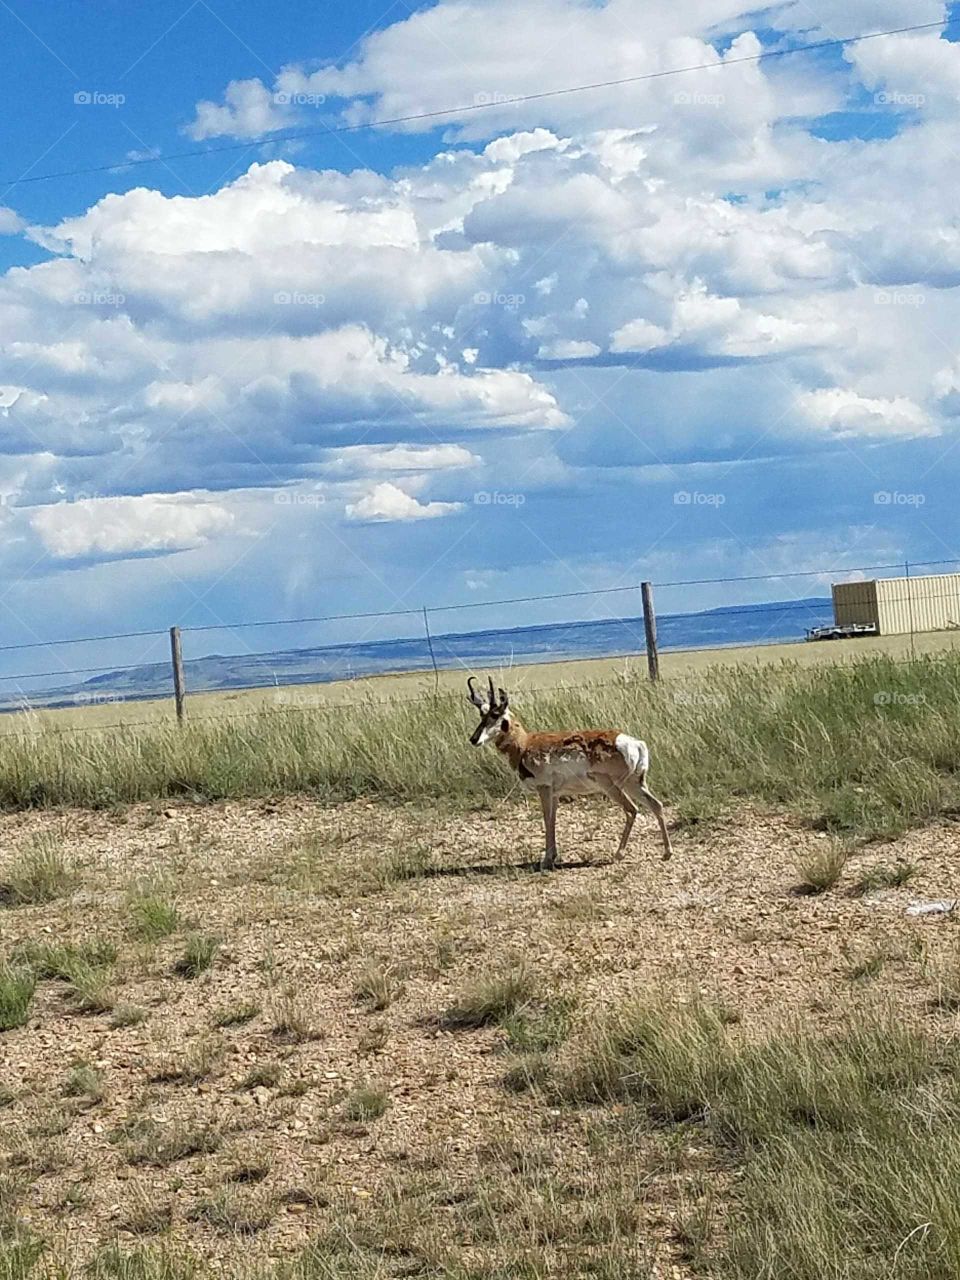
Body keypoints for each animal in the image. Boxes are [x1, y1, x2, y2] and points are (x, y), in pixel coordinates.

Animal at [467, 676, 672, 870]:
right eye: (481, 714)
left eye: (495, 714)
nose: (473, 739)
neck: (525, 744)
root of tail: (635, 743)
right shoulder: (556, 794)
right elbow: (553, 819)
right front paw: (552, 857)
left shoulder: (544, 788)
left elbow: (547, 819)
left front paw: (546, 860)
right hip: (634, 784)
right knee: (656, 804)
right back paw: (666, 853)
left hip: (612, 786)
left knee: (632, 810)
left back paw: (618, 854)